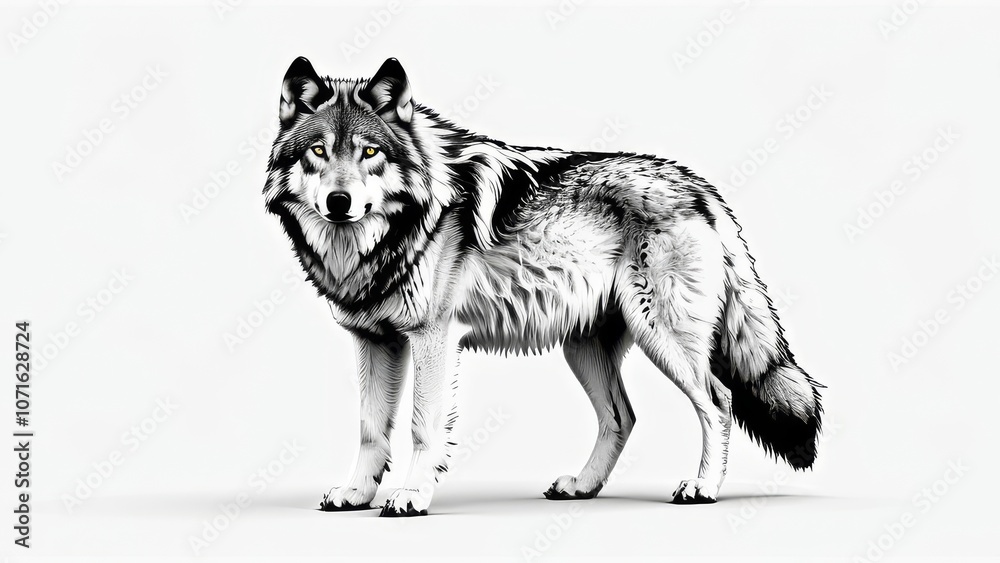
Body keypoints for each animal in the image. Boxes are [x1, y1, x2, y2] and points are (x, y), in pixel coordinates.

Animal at [263, 57, 824, 517]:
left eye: (370, 153)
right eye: (318, 151)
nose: (339, 202)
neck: (384, 239)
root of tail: (701, 187)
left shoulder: (431, 339)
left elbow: (423, 427)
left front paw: (411, 496)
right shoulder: (374, 341)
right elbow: (370, 428)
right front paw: (356, 495)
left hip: (661, 335)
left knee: (718, 400)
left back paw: (702, 488)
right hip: (584, 348)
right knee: (623, 417)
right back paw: (583, 486)